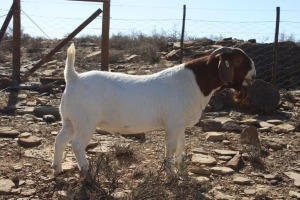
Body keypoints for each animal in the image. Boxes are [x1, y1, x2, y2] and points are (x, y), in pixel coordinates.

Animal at [51, 43, 255, 177]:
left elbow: (181, 146)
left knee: (60, 139)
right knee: (77, 144)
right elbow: (170, 147)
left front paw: (182, 170)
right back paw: (87, 172)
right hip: (85, 122)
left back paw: (57, 168)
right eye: (239, 61)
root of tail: (73, 78)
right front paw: (171, 174)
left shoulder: (180, 124)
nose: (254, 75)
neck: (194, 82)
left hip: (69, 120)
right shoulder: (172, 124)